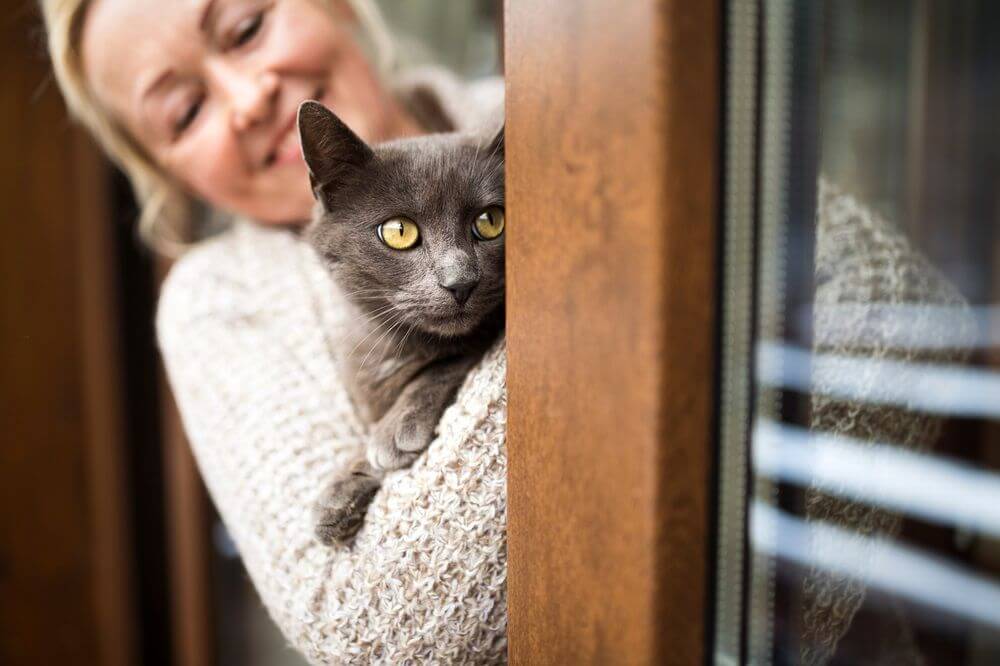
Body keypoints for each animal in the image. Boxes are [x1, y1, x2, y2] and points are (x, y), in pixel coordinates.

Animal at [294, 100, 500, 544]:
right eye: (398, 231)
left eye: (491, 221)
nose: (460, 281)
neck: (395, 346)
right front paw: (344, 489)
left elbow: (451, 360)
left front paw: (390, 434)